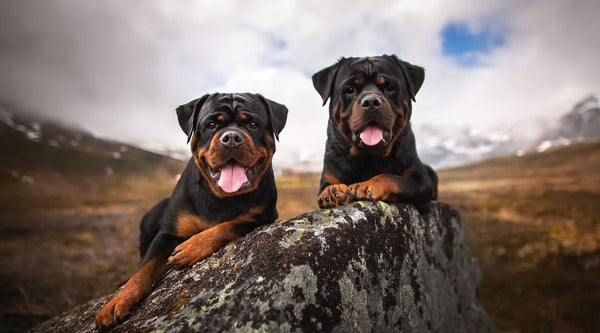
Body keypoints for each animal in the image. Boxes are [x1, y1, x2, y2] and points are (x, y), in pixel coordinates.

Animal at [95, 92, 288, 326]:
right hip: (151, 215)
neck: (221, 197)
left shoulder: (262, 217)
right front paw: (117, 302)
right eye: (211, 124)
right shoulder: (167, 233)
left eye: (252, 124)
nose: (232, 137)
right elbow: (144, 269)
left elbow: (228, 225)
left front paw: (191, 247)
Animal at [314, 54, 436, 209]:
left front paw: (367, 184)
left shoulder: (421, 179)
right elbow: (328, 185)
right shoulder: (329, 174)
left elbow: (391, 177)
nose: (371, 102)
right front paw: (332, 191)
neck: (369, 157)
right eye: (350, 89)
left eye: (389, 87)